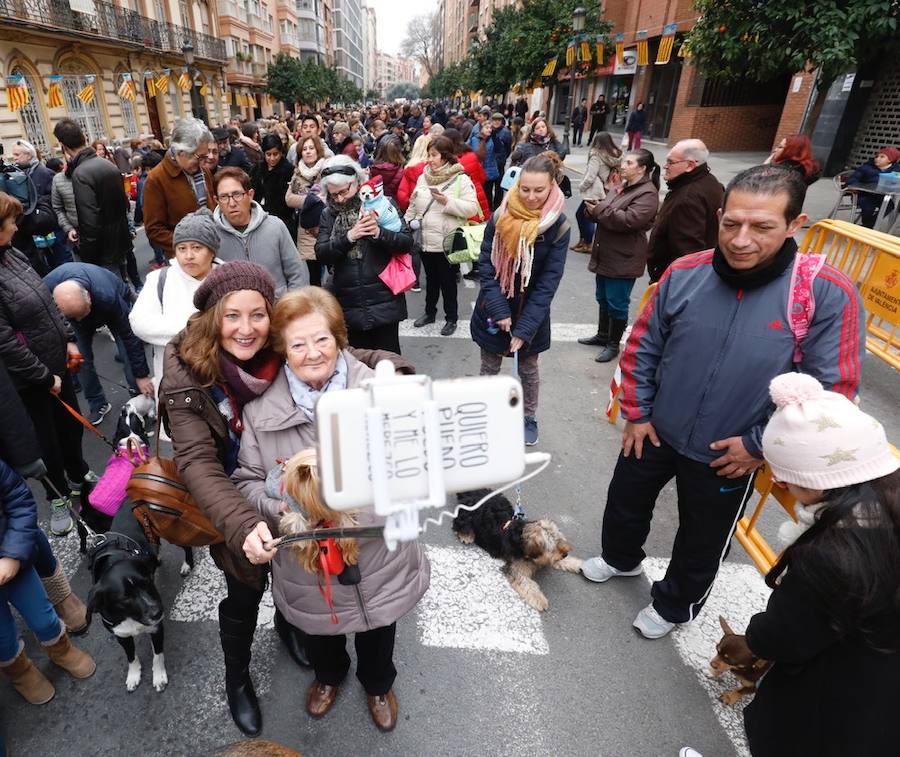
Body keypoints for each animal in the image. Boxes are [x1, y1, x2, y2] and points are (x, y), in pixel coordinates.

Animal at [87, 502, 170, 692]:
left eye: (147, 583)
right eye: (124, 598)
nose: (157, 613)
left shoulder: (157, 628)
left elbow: (158, 655)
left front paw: (159, 676)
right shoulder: (121, 634)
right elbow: (131, 656)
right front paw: (133, 675)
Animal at [450, 490, 584, 608]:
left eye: (560, 540)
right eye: (551, 548)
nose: (565, 554)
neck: (521, 538)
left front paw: (576, 563)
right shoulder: (515, 567)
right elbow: (526, 582)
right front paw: (539, 599)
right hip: (467, 516)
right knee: (459, 521)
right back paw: (466, 535)